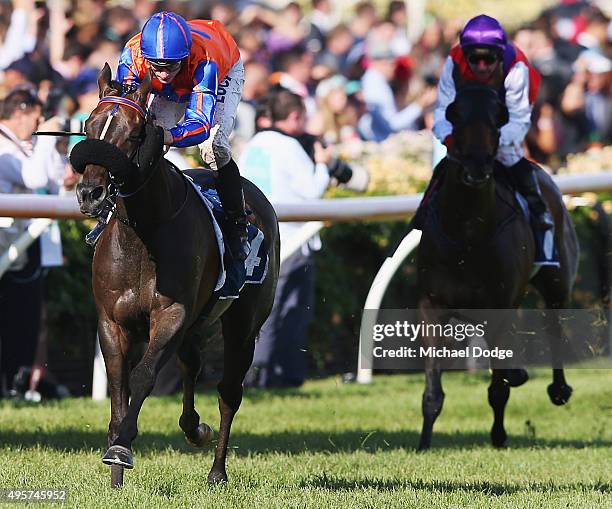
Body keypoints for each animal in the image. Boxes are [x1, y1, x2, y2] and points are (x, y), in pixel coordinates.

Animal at [71, 65, 280, 486]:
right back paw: (194, 427)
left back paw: (217, 471)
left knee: (229, 392)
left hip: (242, 326)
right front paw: (115, 473)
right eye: (88, 125)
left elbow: (143, 377)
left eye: (134, 133)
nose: (90, 193)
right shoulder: (112, 321)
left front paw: (122, 449)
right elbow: (118, 386)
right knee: (192, 365)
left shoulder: (171, 315)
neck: (142, 234)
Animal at [416, 83, 580, 448]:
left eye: (499, 119)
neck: (467, 234)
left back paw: (558, 388)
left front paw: (499, 435)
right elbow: (433, 390)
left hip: (557, 280)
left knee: (554, 325)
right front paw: (423, 443)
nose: (476, 170)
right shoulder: (433, 306)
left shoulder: (500, 306)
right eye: (454, 114)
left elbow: (498, 389)